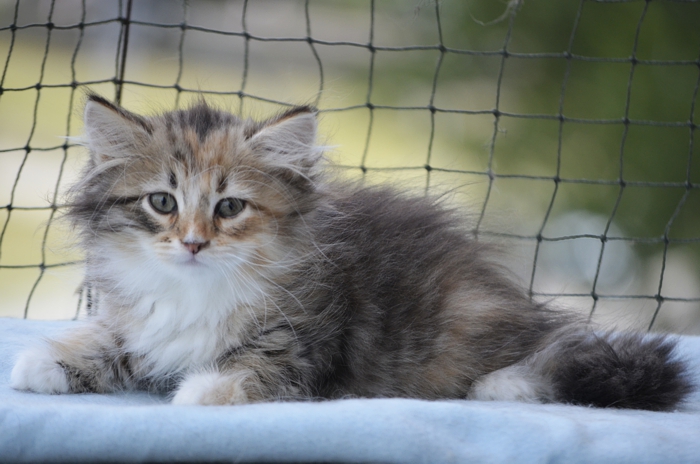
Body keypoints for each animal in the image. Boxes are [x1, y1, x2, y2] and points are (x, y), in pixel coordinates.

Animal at [10, 94, 693, 410]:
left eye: (229, 208)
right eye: (162, 202)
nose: (194, 242)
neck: (195, 289)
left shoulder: (299, 347)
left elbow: (246, 373)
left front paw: (198, 391)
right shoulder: (141, 323)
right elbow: (107, 341)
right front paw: (43, 363)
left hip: (460, 329)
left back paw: (505, 383)